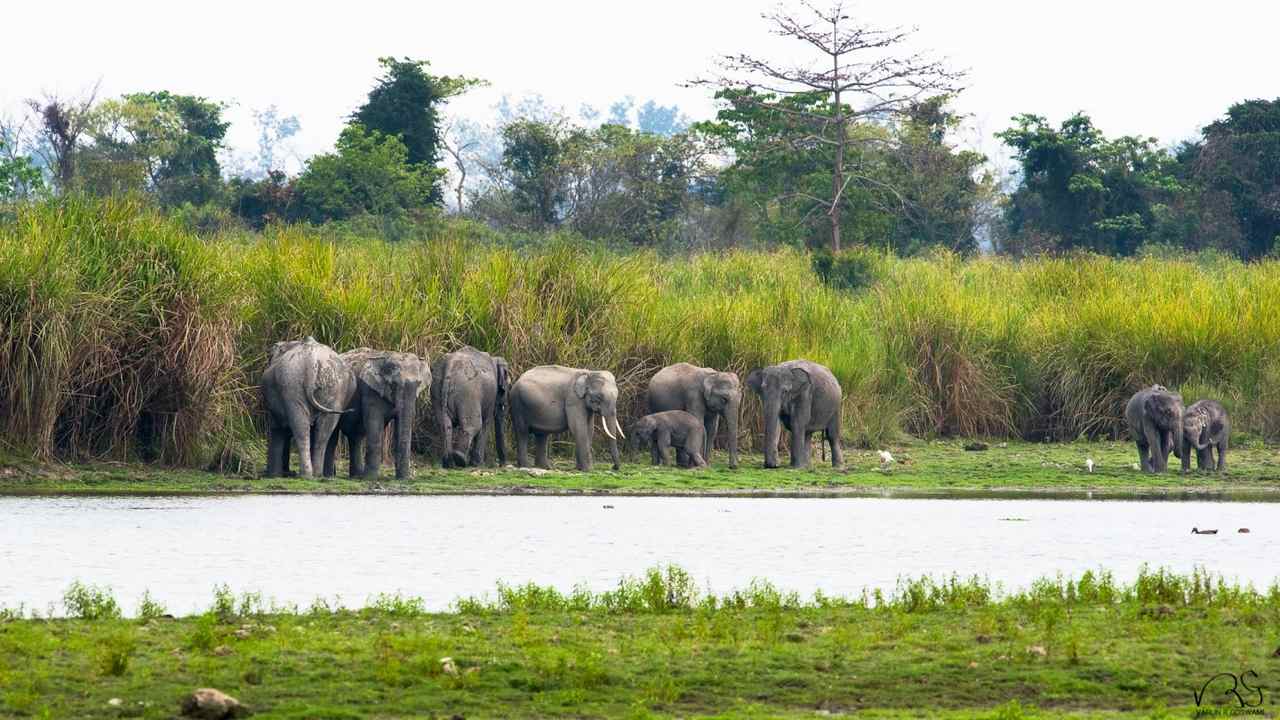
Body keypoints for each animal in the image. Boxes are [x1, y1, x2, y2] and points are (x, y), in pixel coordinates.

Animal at [261, 337, 356, 479]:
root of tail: (311, 362)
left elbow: (277, 428)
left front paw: (274, 475)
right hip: (332, 389)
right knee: (323, 430)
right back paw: (316, 474)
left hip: (291, 384)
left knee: (301, 427)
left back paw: (305, 475)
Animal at [328, 348, 431, 480]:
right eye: (394, 384)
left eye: (419, 384)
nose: (405, 479)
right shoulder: (370, 390)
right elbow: (374, 425)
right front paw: (369, 479)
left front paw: (403, 479)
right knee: (333, 437)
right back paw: (331, 476)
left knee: (355, 437)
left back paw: (356, 476)